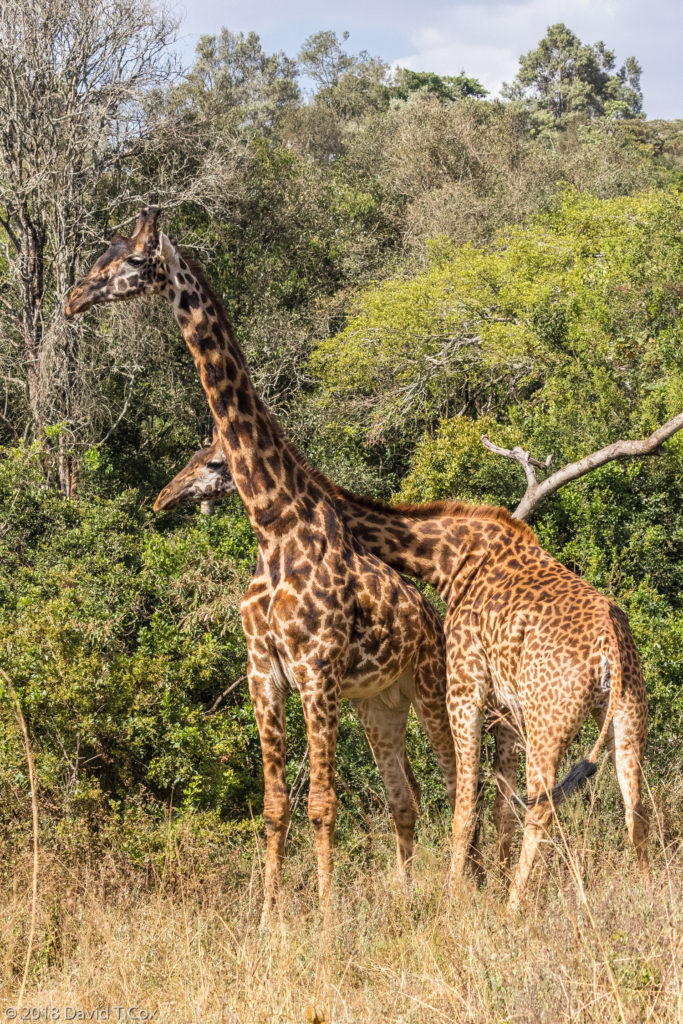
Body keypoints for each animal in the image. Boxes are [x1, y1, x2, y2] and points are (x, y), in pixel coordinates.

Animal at [65, 205, 464, 921]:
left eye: (133, 260)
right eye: (101, 253)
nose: (74, 299)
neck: (274, 523)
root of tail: (428, 611)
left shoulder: (316, 670)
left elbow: (323, 803)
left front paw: (326, 922)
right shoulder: (264, 673)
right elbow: (277, 804)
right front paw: (268, 918)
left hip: (426, 684)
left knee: (459, 781)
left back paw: (464, 888)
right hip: (379, 704)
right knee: (407, 793)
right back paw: (408, 893)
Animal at [154, 421, 651, 913]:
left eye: (214, 462)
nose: (164, 498)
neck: (451, 559)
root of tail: (611, 648)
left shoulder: (467, 685)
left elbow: (466, 801)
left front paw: (456, 897)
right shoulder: (504, 701)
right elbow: (494, 801)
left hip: (547, 716)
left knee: (541, 804)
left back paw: (511, 907)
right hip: (627, 715)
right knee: (635, 805)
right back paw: (644, 897)